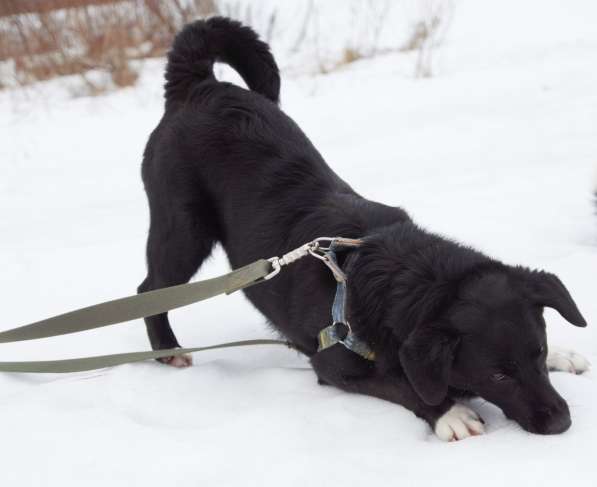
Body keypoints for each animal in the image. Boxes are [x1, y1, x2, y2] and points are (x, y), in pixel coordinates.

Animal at [139, 18, 588, 442]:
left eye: (539, 351)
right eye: (498, 375)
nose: (561, 422)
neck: (407, 276)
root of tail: (200, 85)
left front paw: (562, 356)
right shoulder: (334, 365)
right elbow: (402, 385)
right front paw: (449, 413)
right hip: (184, 231)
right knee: (150, 288)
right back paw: (168, 349)